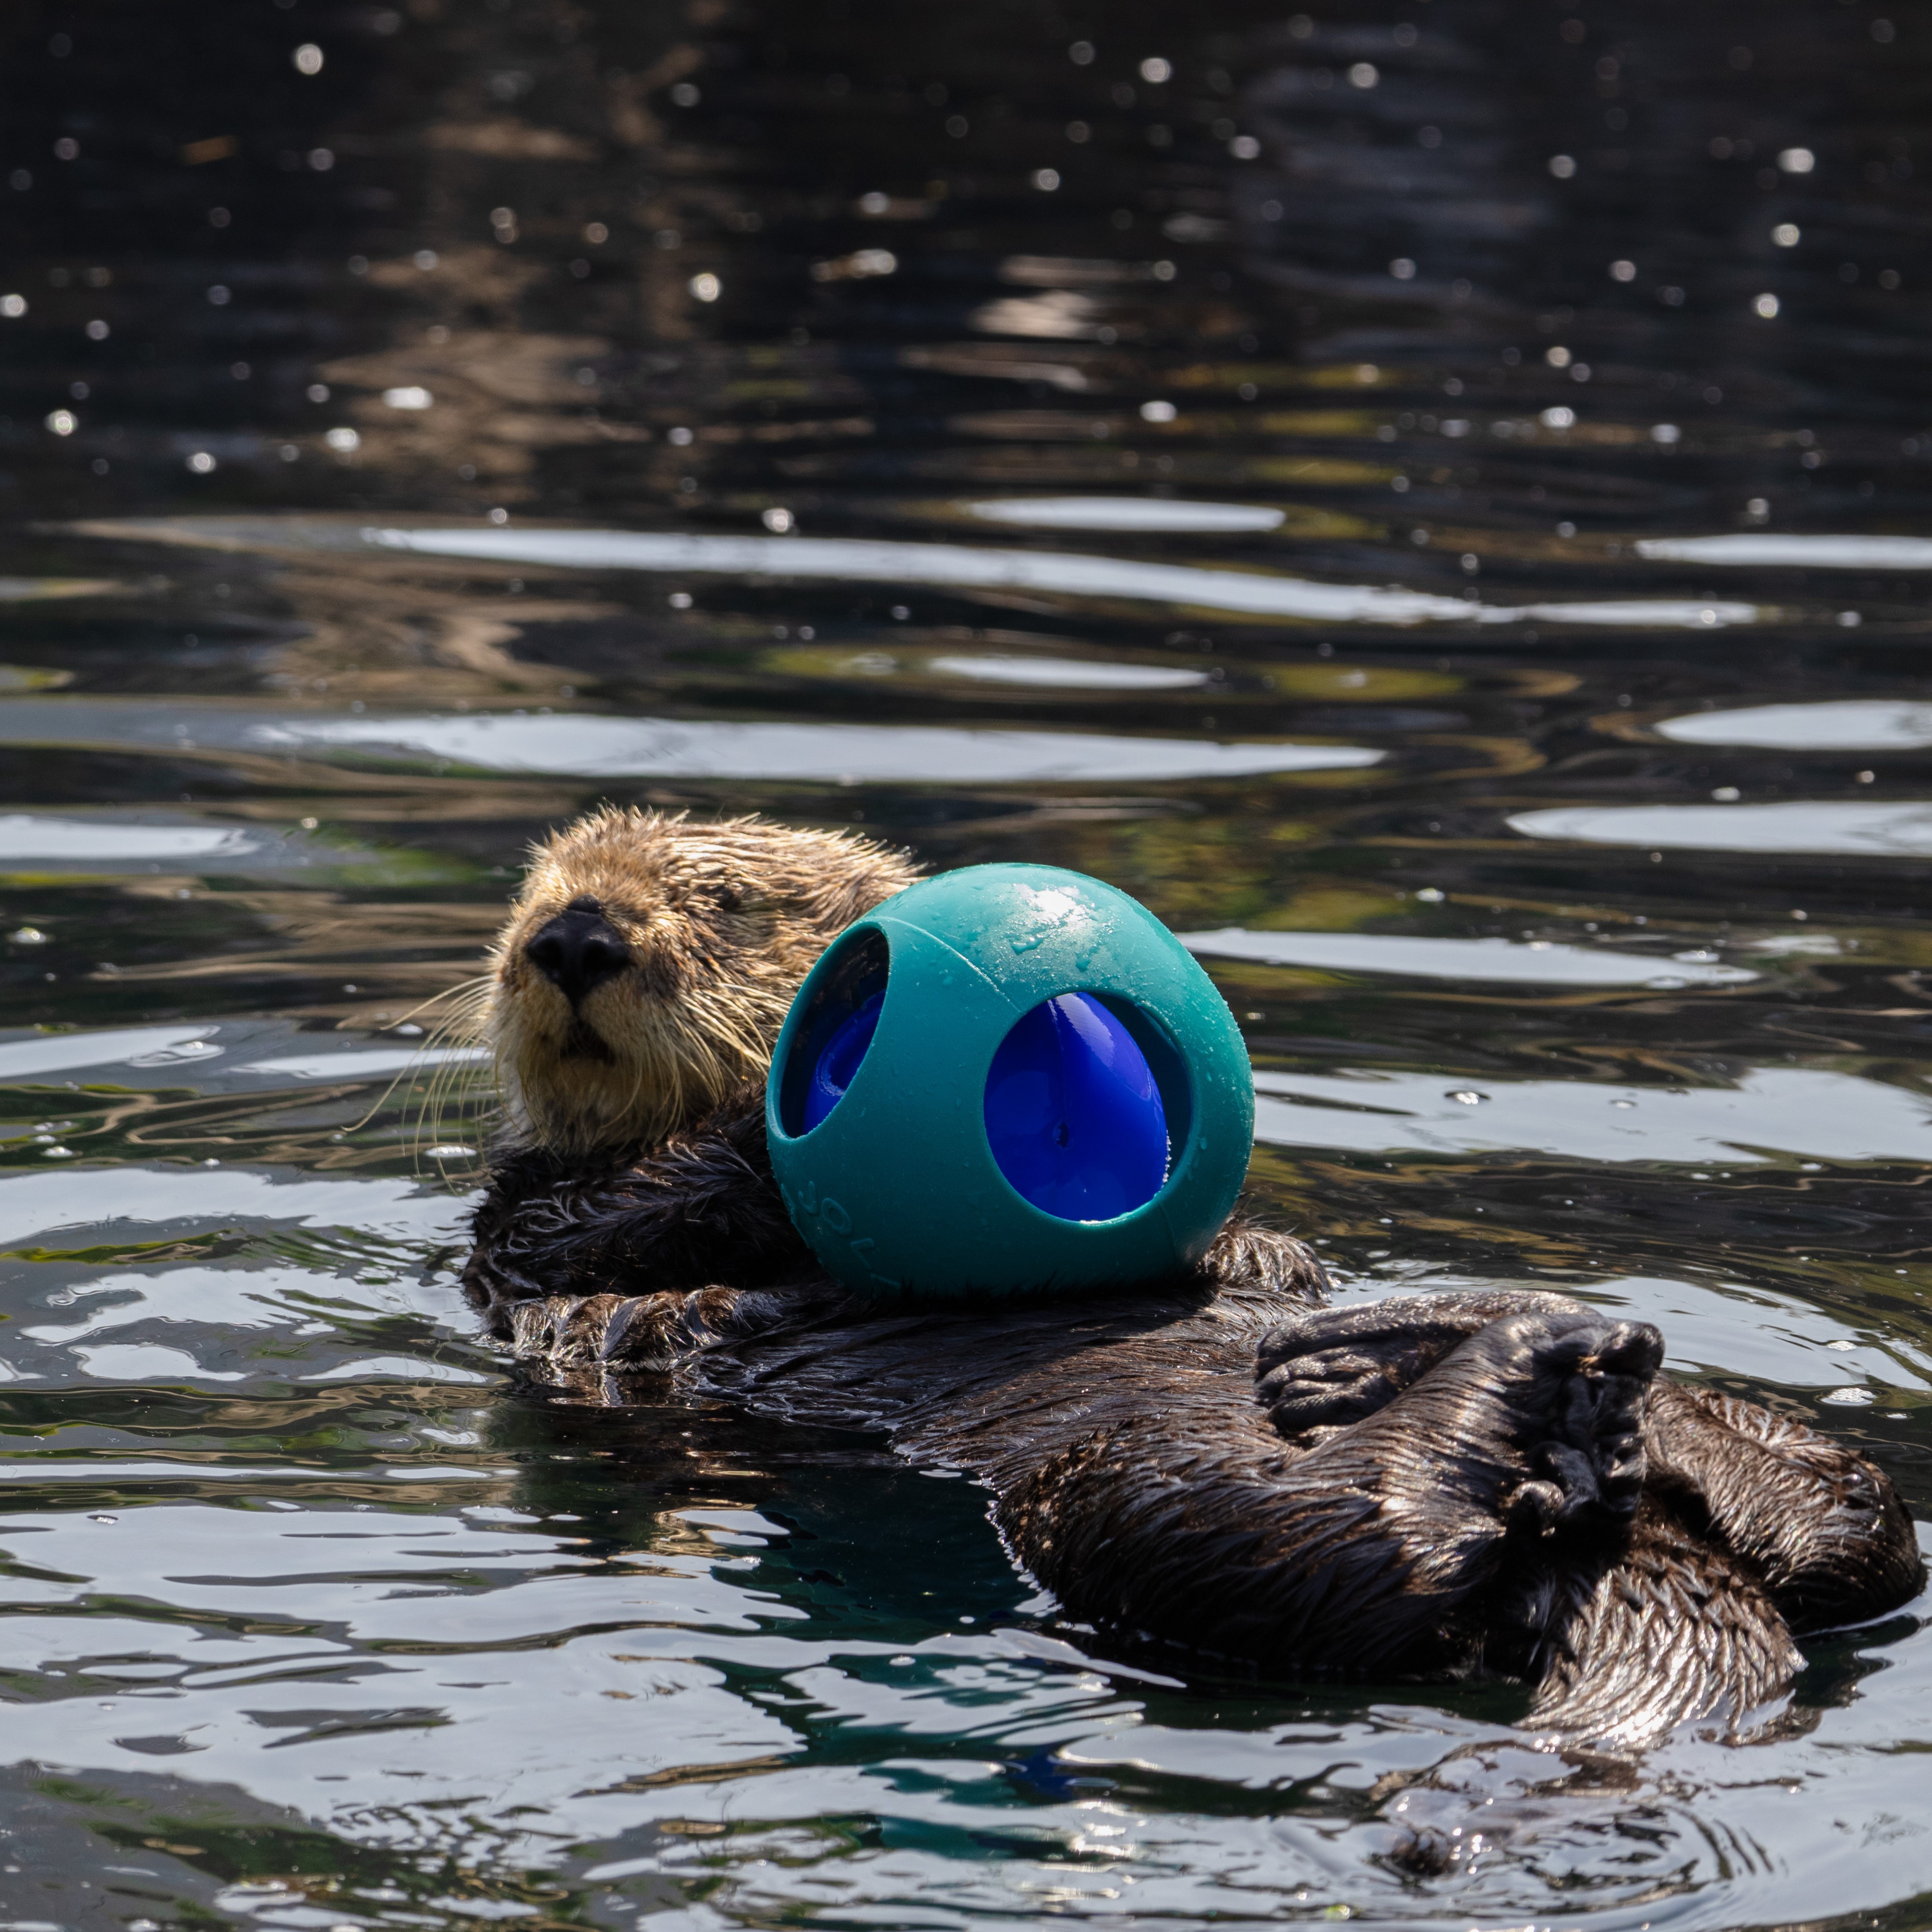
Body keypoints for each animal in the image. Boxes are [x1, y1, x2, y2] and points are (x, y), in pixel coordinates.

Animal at [461, 807, 1922, 1749]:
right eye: (527, 898)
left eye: (724, 904)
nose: (573, 937)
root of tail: (1616, 1539)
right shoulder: (536, 1239)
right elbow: (623, 1217)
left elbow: (1261, 1242)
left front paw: (1256, 1262)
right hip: (1141, 1505)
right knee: (1370, 1534)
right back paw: (1498, 1368)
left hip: (1782, 1484)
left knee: (1851, 1524)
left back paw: (1483, 1361)